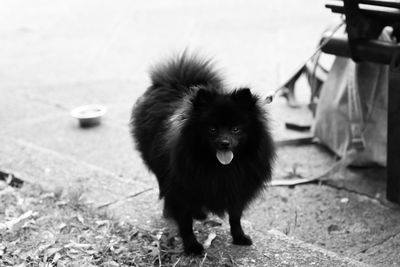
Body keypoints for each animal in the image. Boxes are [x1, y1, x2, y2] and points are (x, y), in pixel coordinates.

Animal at [131, 53, 276, 256]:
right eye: (212, 129)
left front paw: (239, 237)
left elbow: (235, 217)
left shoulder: (237, 188)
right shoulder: (181, 188)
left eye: (236, 129)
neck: (220, 168)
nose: (225, 143)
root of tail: (173, 82)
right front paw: (192, 246)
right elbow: (185, 223)